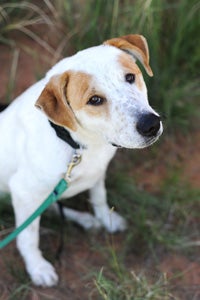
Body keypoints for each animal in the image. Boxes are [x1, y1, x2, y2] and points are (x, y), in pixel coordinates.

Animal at [0, 34, 162, 286]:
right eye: (94, 100)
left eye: (130, 77)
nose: (151, 125)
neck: (79, 145)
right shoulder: (23, 191)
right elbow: (28, 237)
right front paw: (37, 267)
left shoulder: (98, 171)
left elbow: (99, 198)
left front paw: (106, 219)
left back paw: (85, 220)